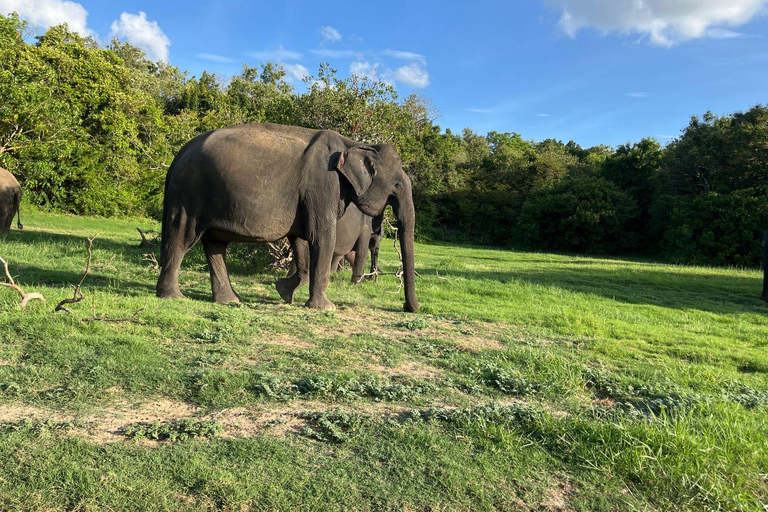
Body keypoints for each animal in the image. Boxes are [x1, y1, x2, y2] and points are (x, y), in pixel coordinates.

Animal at [155, 124, 420, 312]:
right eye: (397, 185)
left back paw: (230, 301)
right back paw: (174, 297)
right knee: (181, 238)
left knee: (215, 245)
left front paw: (283, 292)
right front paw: (325, 308)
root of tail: (177, 156)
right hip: (189, 194)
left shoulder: (308, 198)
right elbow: (322, 236)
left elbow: (302, 240)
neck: (354, 144)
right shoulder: (323, 185)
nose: (410, 308)